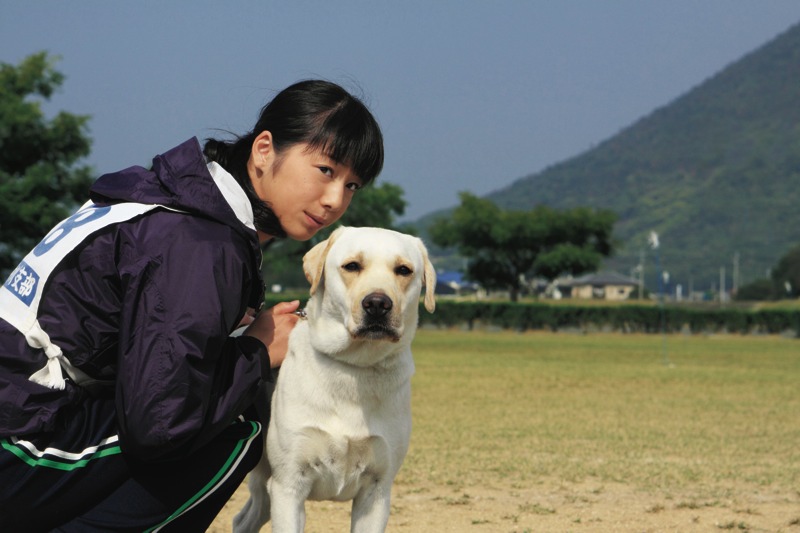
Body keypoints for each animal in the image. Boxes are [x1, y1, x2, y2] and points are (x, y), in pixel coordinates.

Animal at [234, 227, 434, 528]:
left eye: (403, 270)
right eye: (352, 266)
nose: (377, 303)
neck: (353, 367)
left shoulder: (378, 490)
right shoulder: (288, 485)